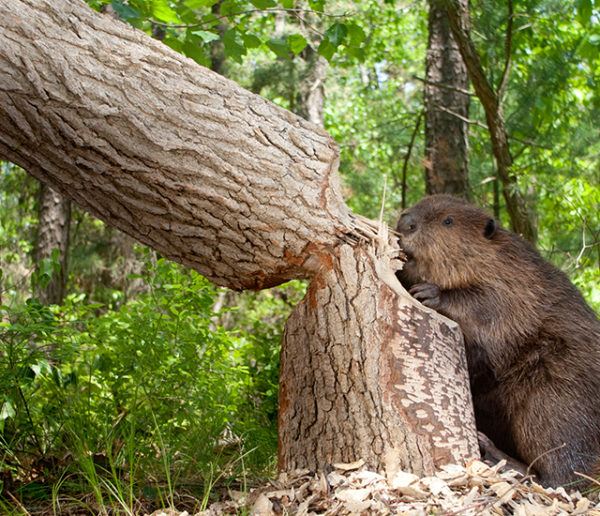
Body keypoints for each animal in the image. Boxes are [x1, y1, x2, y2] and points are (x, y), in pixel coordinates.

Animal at [396, 194, 600, 488]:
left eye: (448, 221)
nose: (406, 221)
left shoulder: (517, 283)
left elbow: (486, 304)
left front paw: (430, 293)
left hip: (556, 394)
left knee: (562, 473)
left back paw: (496, 455)